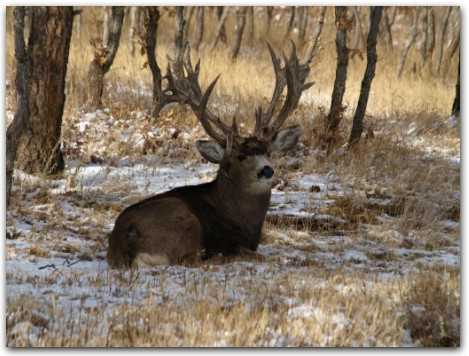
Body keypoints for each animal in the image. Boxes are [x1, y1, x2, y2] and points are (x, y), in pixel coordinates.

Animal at [106, 43, 310, 268]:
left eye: (268, 152)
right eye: (240, 156)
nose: (266, 170)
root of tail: (125, 239)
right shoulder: (230, 242)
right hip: (184, 220)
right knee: (191, 259)